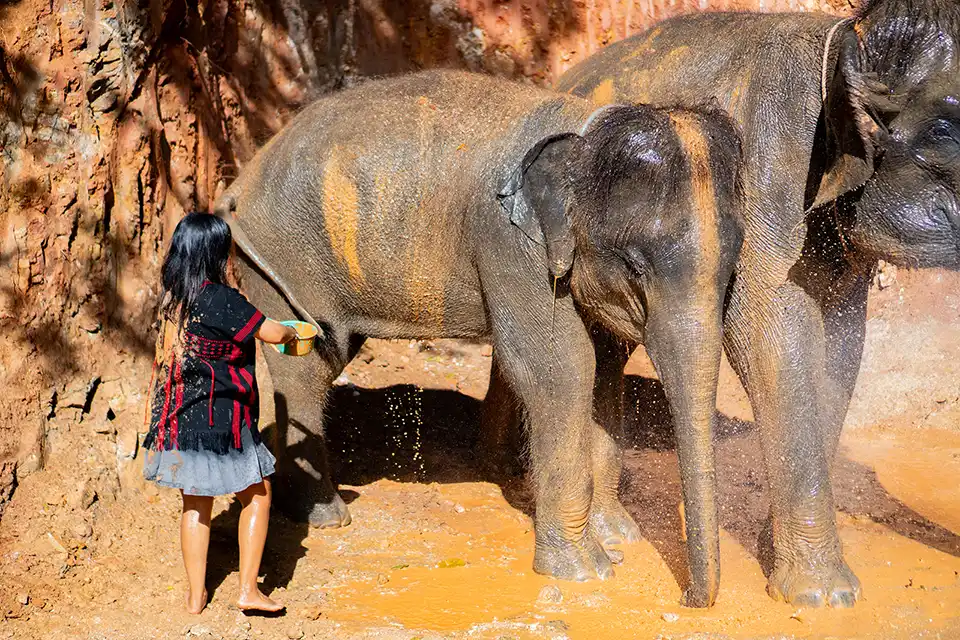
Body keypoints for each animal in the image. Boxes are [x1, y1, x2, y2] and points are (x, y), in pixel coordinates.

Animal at [213, 69, 745, 601]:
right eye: (635, 266)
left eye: (731, 273)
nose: (689, 598)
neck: (583, 130)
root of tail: (242, 178)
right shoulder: (511, 244)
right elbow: (561, 371)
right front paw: (585, 570)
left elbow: (605, 370)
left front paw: (620, 537)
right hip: (280, 256)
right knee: (306, 368)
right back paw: (325, 517)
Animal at [550, 0, 960, 608]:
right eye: (947, 132)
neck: (845, 41)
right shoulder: (769, 181)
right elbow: (770, 340)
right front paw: (821, 596)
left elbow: (842, 348)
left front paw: (775, 549)